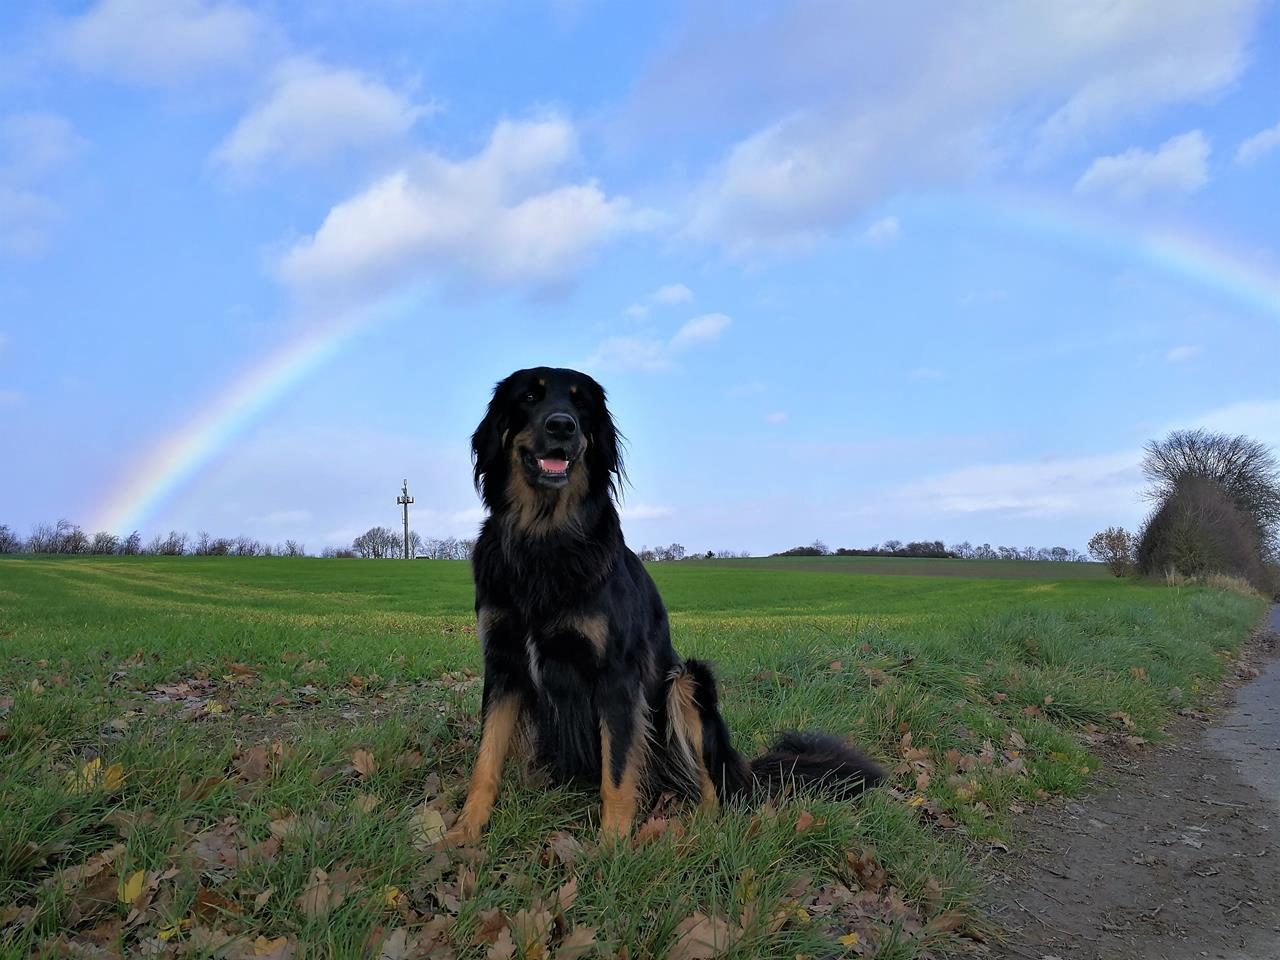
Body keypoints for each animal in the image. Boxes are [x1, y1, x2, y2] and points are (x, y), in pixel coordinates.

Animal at [448, 366, 880, 839]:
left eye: (581, 403)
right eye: (529, 397)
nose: (562, 425)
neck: (543, 538)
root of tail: (743, 768)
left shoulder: (617, 677)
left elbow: (618, 774)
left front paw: (612, 846)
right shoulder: (504, 667)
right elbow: (485, 760)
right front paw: (463, 831)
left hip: (686, 682)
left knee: (709, 783)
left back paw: (701, 828)